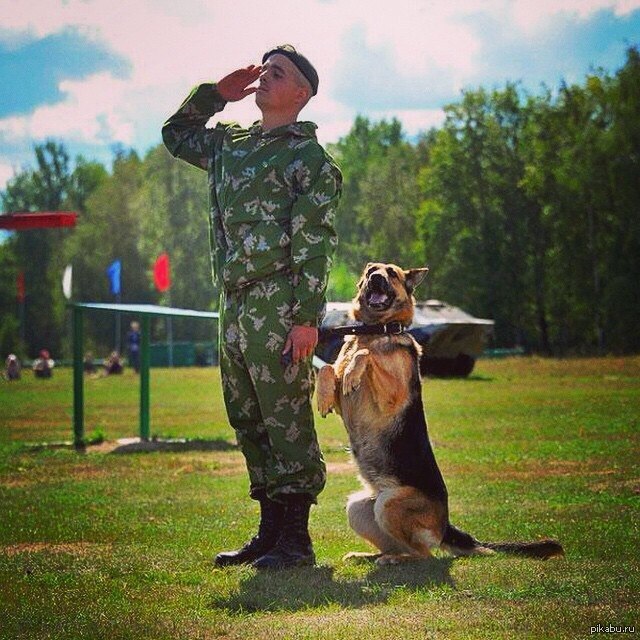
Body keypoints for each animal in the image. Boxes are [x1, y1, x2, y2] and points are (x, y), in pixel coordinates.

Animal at [318, 262, 564, 564]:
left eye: (392, 273)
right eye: (372, 270)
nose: (375, 278)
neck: (375, 331)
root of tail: (445, 526)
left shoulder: (390, 397)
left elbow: (366, 356)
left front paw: (354, 368)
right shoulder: (343, 403)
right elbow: (327, 367)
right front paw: (323, 394)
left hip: (389, 503)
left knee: (425, 555)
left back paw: (396, 559)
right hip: (357, 507)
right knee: (397, 546)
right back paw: (368, 555)